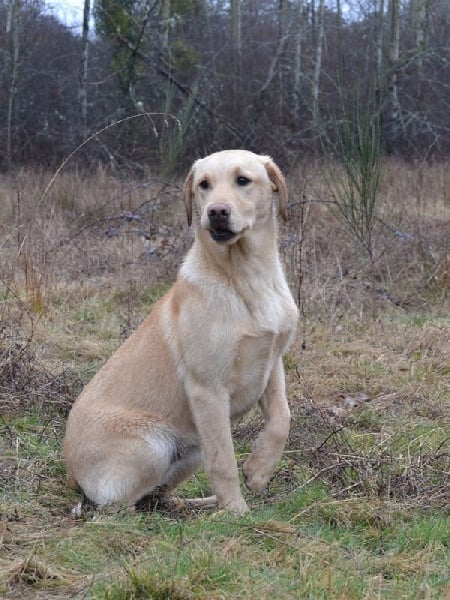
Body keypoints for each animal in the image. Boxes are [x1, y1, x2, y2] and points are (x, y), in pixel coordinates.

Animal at [64, 149, 298, 514]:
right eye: (204, 185)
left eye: (243, 180)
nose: (216, 212)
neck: (245, 276)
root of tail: (70, 470)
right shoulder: (208, 390)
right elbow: (224, 461)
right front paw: (236, 512)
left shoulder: (272, 364)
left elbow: (281, 420)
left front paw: (258, 471)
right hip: (152, 447)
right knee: (119, 506)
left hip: (191, 449)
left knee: (158, 495)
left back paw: (195, 505)